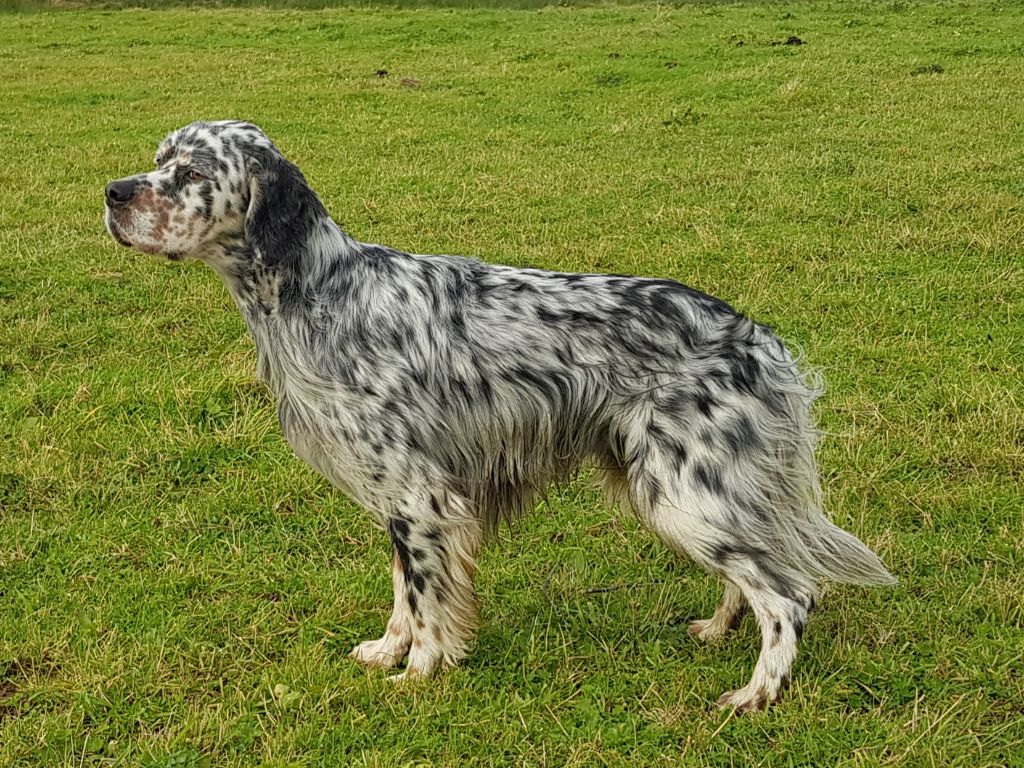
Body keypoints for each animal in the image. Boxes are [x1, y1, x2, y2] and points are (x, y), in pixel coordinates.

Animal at [101, 121, 897, 716]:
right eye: (157, 161)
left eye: (192, 172)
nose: (112, 192)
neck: (319, 293)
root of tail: (755, 336)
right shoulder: (404, 499)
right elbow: (404, 593)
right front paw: (387, 652)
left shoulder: (421, 498)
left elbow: (427, 600)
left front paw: (419, 674)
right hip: (698, 493)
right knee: (754, 578)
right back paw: (716, 629)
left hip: (684, 493)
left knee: (789, 593)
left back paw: (757, 695)